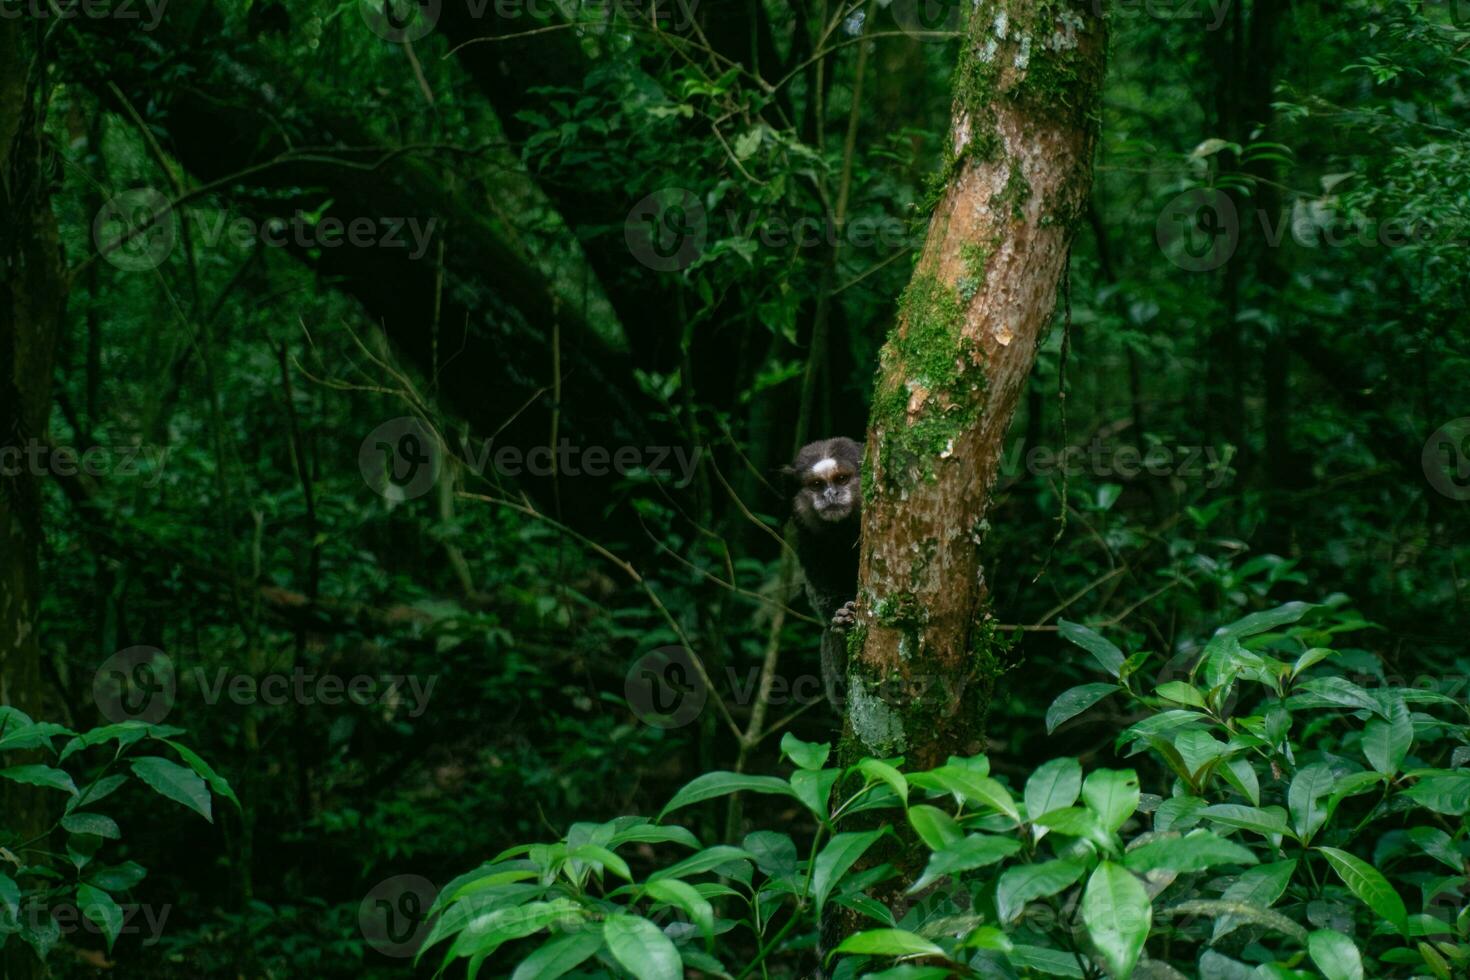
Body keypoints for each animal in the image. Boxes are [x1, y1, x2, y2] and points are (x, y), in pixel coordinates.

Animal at [787, 437, 864, 705]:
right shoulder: (805, 536)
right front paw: (842, 617)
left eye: (841, 479)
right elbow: (820, 597)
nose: (830, 494)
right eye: (817, 484)